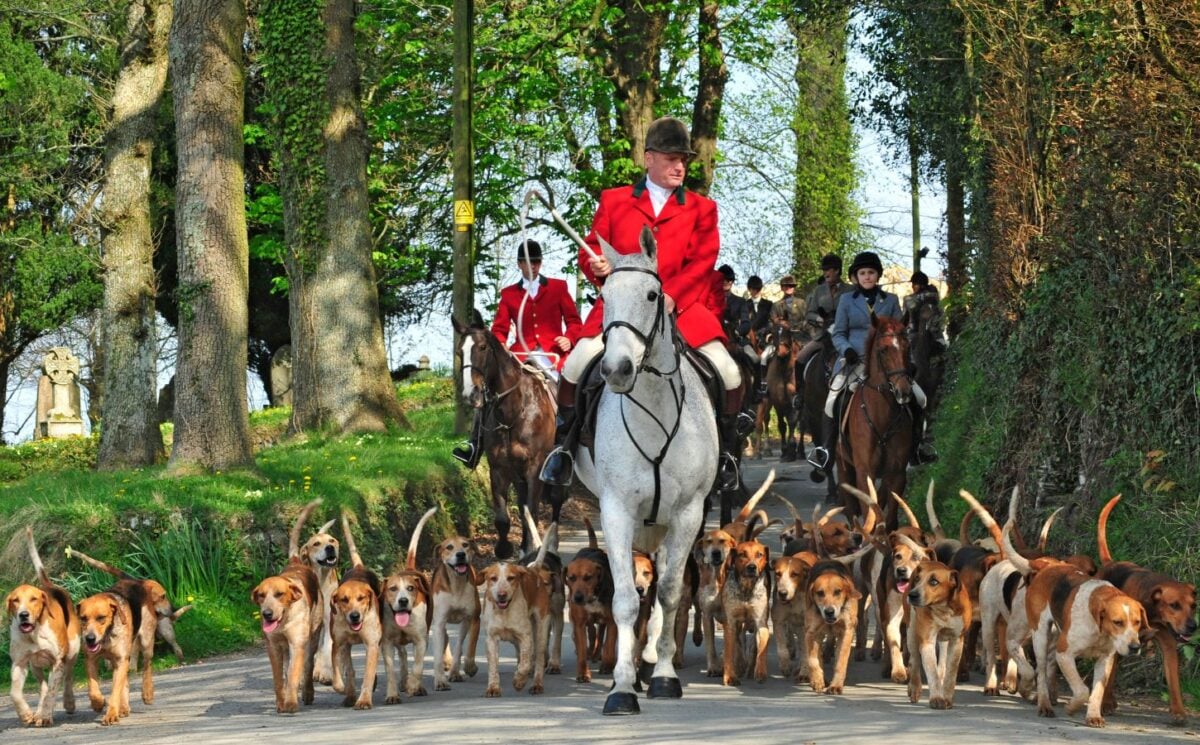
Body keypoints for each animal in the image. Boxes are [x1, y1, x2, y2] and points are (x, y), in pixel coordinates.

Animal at [451, 319, 564, 556]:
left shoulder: (535, 468)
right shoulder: (499, 469)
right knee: (522, 507)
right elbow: (504, 518)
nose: (470, 395)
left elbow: (533, 511)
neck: (514, 412)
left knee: (556, 501)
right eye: (459, 352)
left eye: (483, 348)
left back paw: (551, 543)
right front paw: (505, 550)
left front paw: (533, 550)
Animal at [568, 226, 710, 715]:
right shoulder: (616, 511)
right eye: (603, 296)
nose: (616, 369)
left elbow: (668, 593)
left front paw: (663, 674)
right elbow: (628, 600)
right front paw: (623, 687)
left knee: (664, 583)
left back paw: (651, 660)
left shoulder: (688, 512)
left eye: (652, 294)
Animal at [840, 311, 912, 532]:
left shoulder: (897, 473)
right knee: (852, 508)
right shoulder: (865, 472)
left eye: (908, 347)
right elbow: (870, 515)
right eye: (883, 350)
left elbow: (889, 520)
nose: (904, 392)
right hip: (843, 465)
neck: (882, 417)